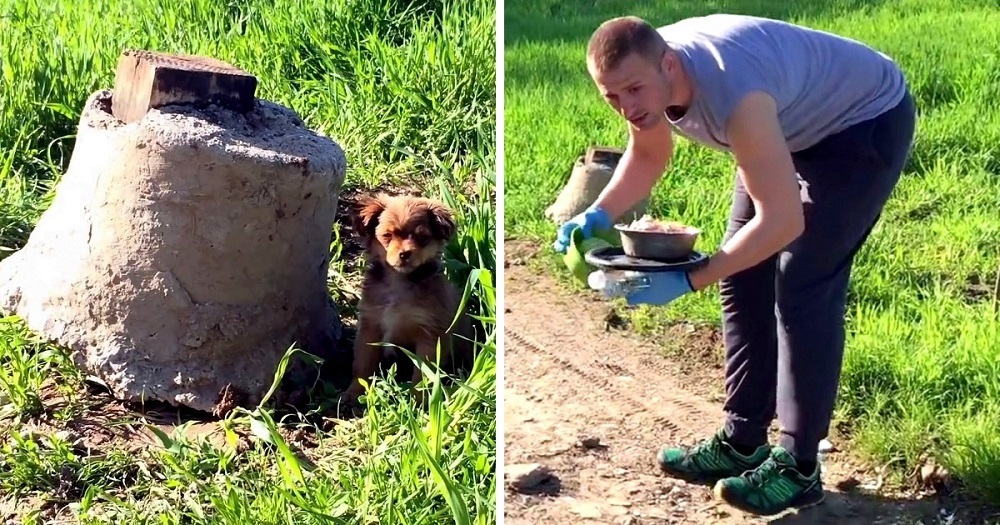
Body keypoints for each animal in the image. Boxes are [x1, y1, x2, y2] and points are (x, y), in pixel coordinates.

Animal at [344, 192, 476, 402]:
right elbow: (363, 364)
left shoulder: (430, 334)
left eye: (422, 237)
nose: (405, 253)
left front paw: (419, 401)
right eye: (387, 236)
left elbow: (422, 374)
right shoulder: (369, 326)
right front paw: (354, 392)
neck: (399, 281)